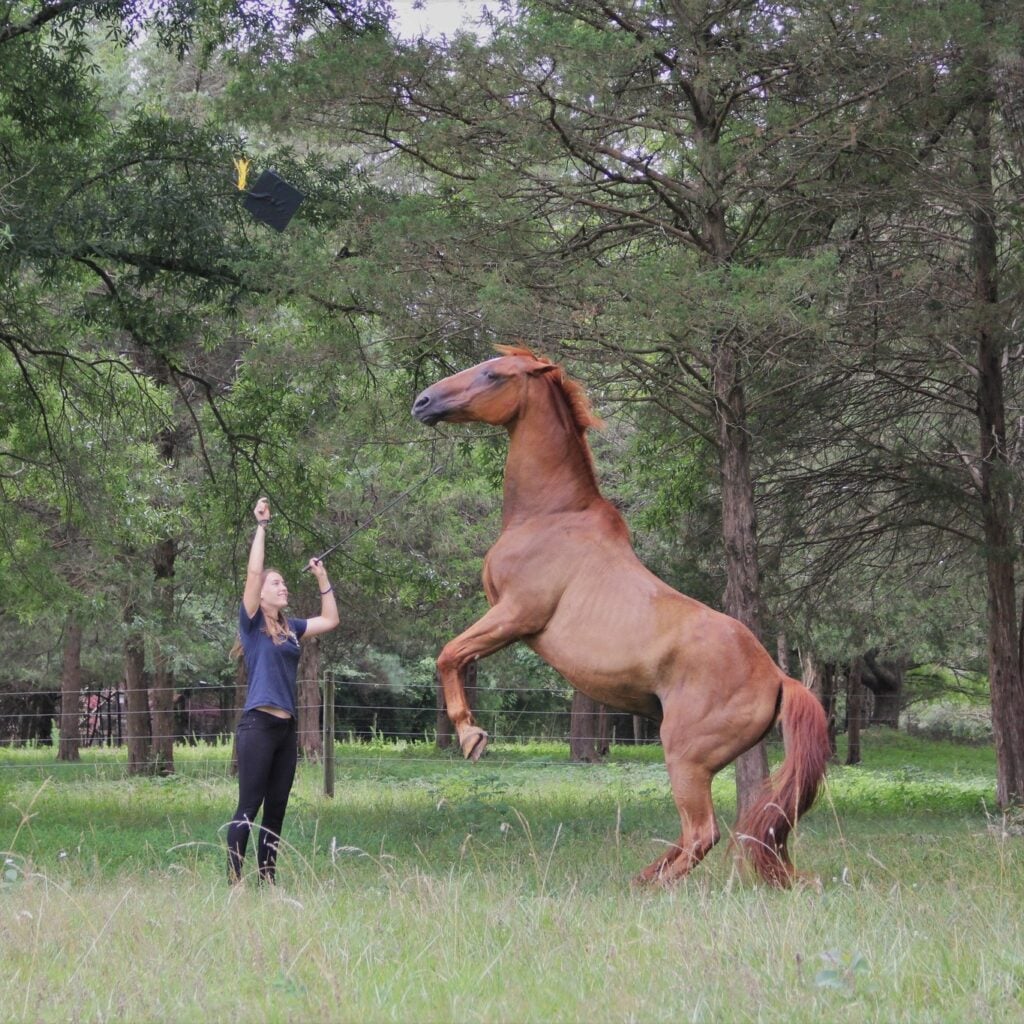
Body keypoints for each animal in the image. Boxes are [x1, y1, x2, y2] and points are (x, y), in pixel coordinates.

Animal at [412, 347, 830, 887]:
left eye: (493, 373)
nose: (423, 402)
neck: (552, 517)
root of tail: (779, 679)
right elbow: (454, 657)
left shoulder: (515, 615)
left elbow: (448, 655)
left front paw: (472, 737)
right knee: (694, 837)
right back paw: (640, 880)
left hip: (685, 757)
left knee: (702, 833)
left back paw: (651, 889)